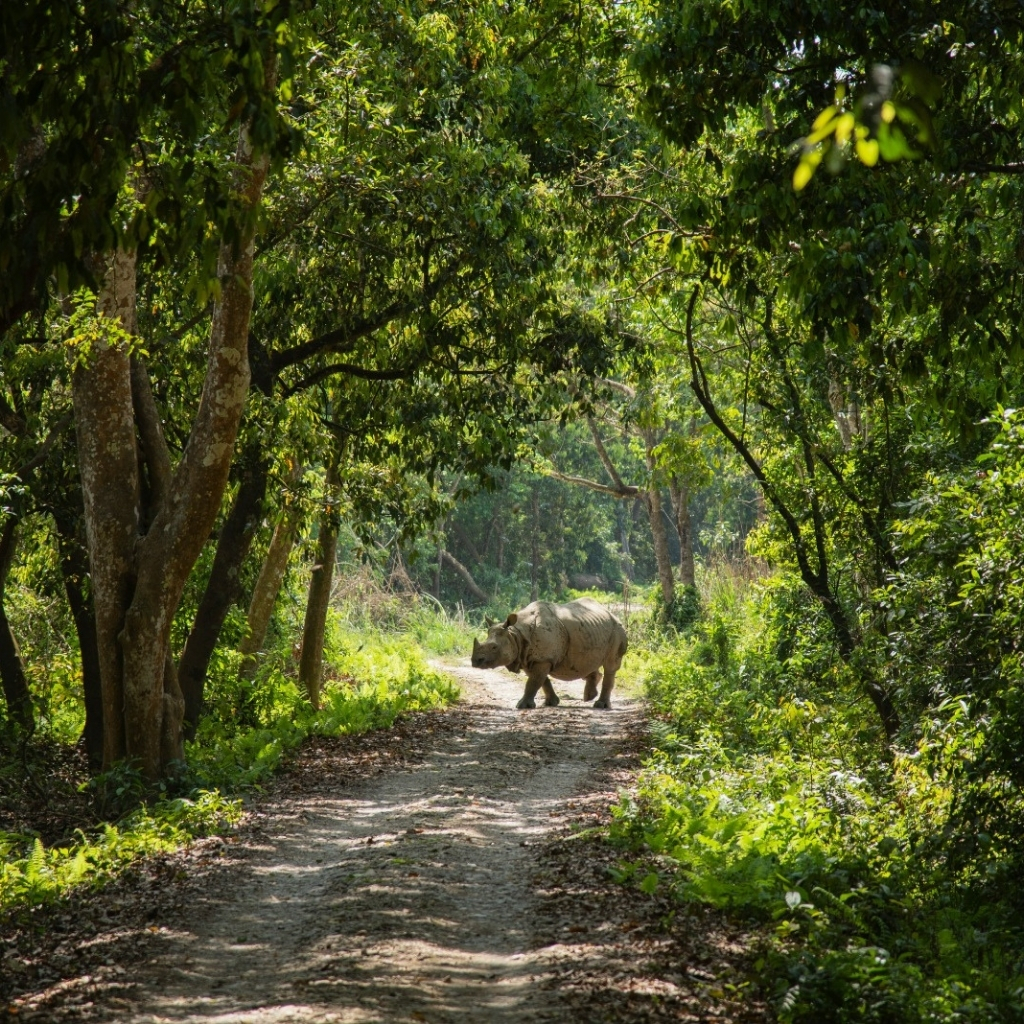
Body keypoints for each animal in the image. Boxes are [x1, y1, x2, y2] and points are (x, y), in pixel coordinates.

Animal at [471, 598, 627, 710]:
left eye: (494, 647)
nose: (475, 661)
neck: (515, 635)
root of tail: (611, 613)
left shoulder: (542, 659)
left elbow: (534, 681)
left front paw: (522, 706)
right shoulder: (528, 657)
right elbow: (541, 680)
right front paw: (551, 703)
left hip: (617, 629)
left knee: (610, 666)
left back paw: (600, 705)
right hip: (591, 630)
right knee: (585, 663)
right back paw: (589, 696)